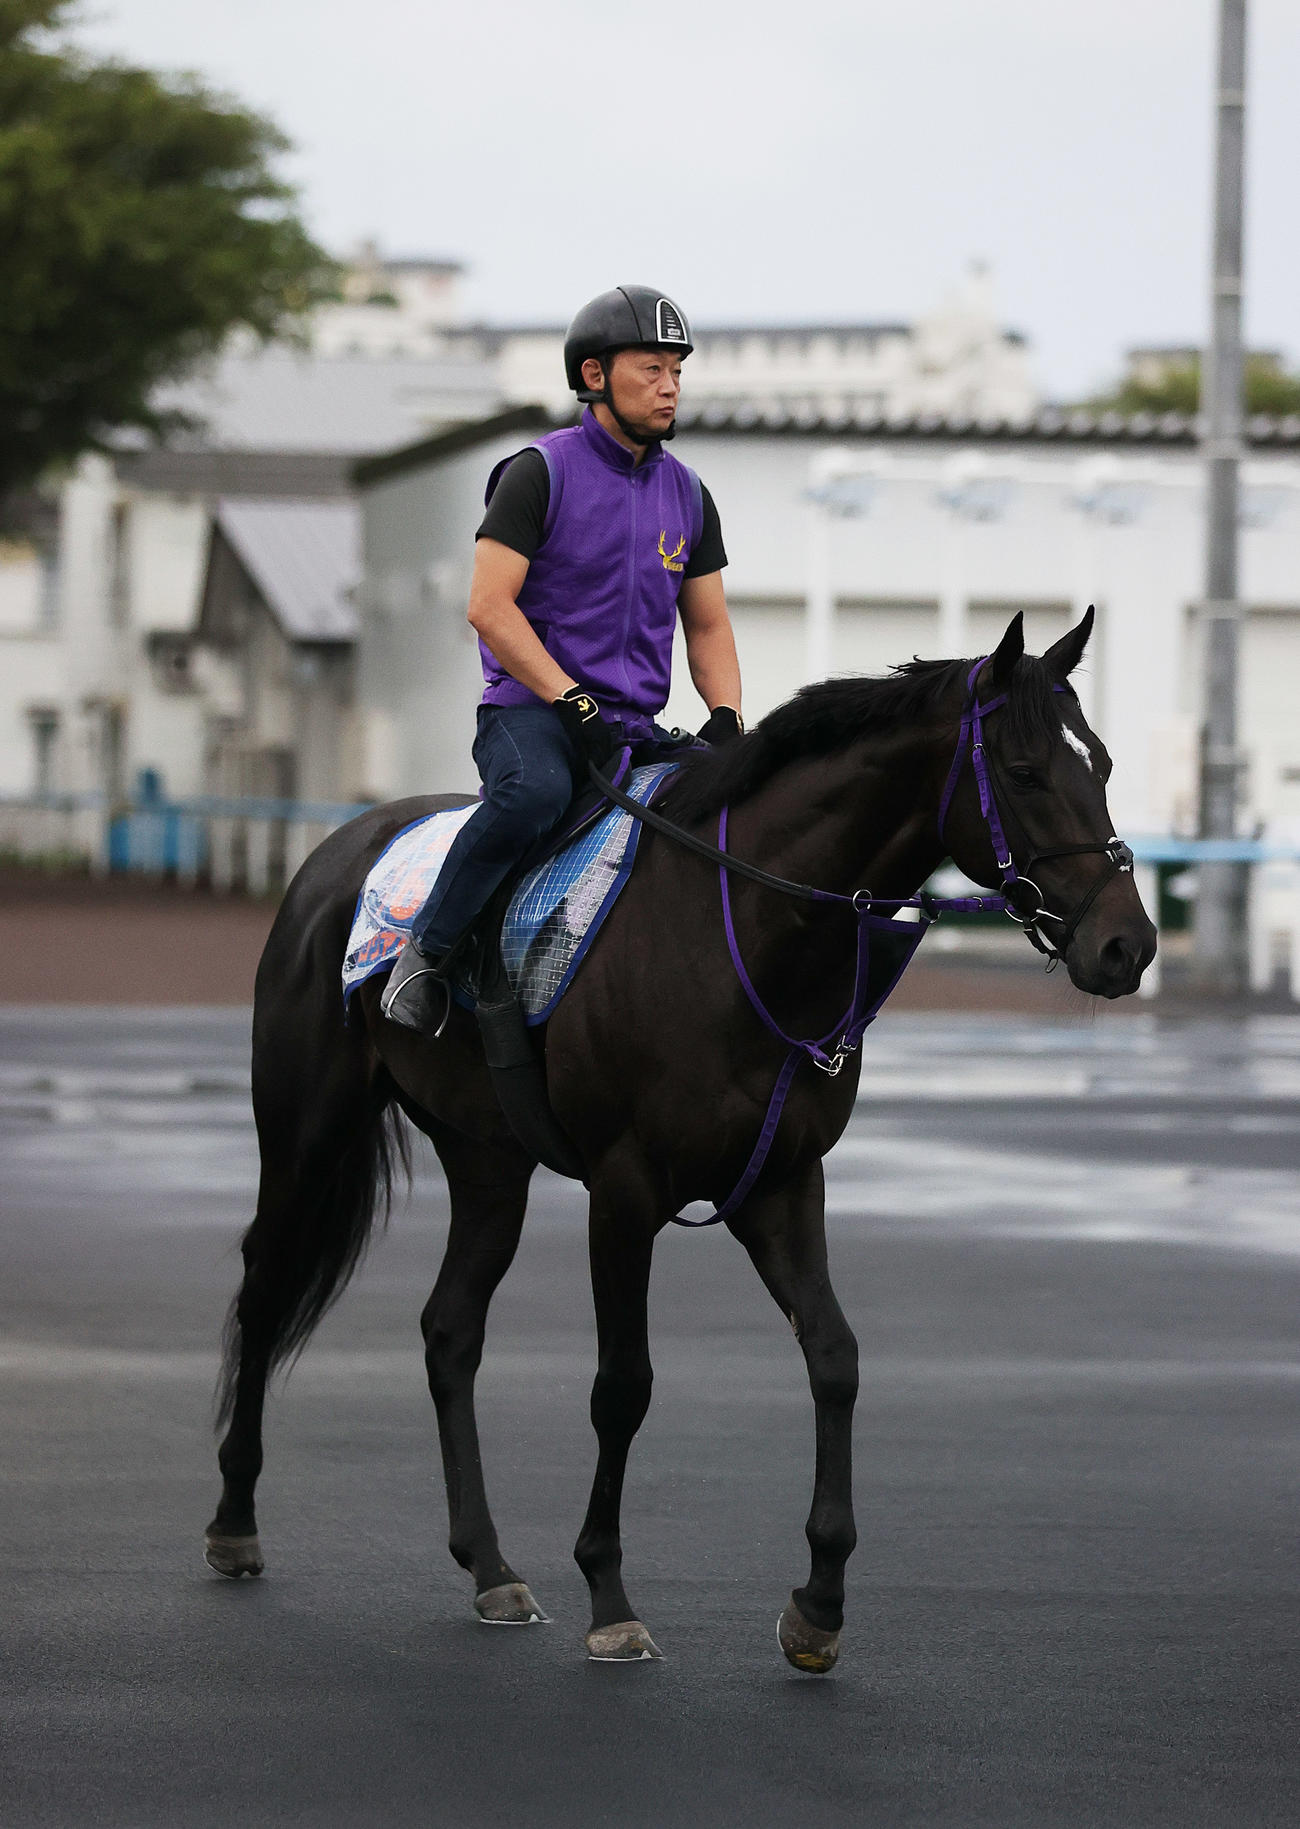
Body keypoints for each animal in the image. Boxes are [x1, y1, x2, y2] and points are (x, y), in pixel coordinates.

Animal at [204, 608, 1156, 1670]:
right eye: (1026, 771)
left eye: (1101, 762)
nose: (1129, 944)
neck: (738, 927)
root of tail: (337, 851)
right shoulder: (626, 1193)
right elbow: (624, 1385)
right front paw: (610, 1593)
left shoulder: (782, 1183)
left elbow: (835, 1356)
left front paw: (819, 1603)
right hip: (306, 1131)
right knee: (265, 1287)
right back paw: (234, 1521)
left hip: (489, 1163)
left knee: (449, 1330)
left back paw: (489, 1564)